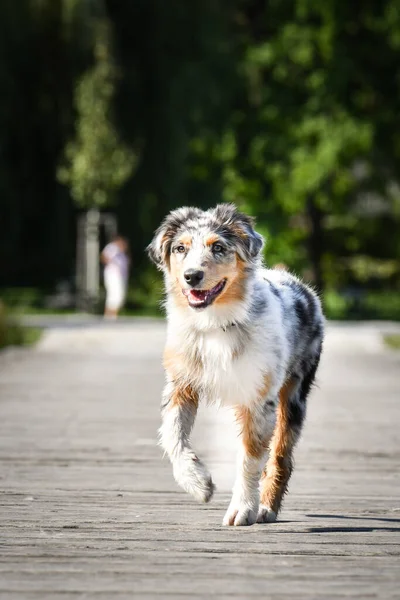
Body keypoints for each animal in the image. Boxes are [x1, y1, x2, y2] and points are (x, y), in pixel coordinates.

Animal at [148, 203, 324, 524]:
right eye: (180, 248)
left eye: (218, 247)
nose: (192, 275)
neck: (215, 323)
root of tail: (301, 287)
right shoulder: (181, 383)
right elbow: (172, 436)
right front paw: (198, 484)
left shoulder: (258, 396)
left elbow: (251, 457)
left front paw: (242, 508)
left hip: (293, 396)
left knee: (280, 455)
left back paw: (266, 507)